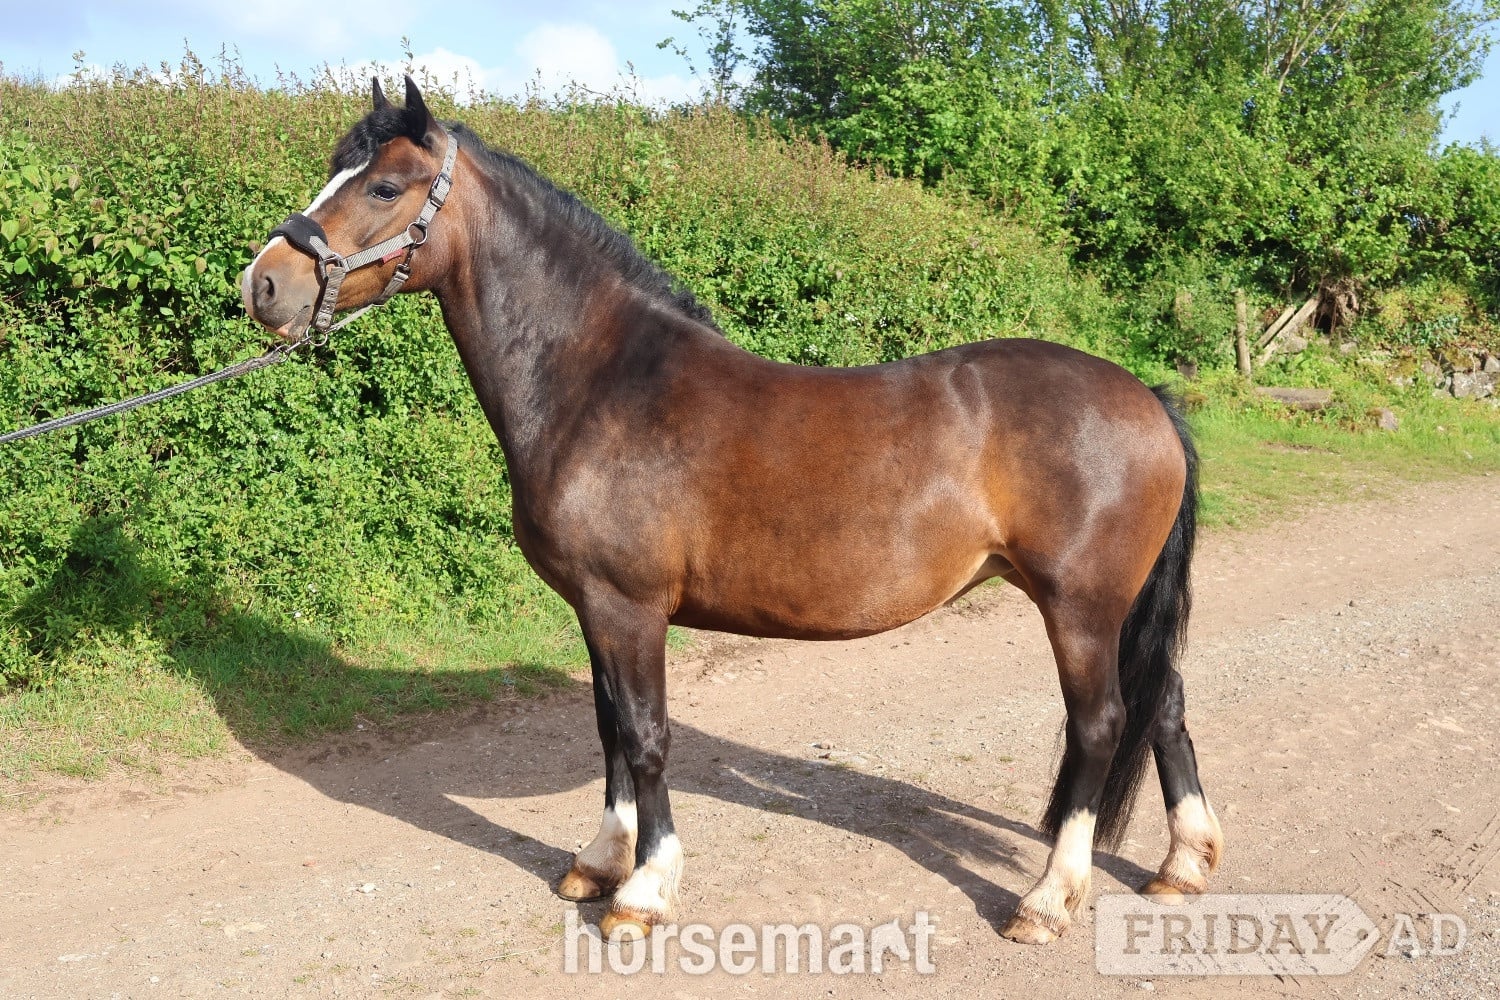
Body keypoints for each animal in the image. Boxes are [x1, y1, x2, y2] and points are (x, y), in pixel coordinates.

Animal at [241, 77, 1223, 946]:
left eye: (384, 185)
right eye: (335, 168)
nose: (263, 285)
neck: (601, 383)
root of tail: (1146, 397)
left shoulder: (629, 606)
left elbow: (643, 737)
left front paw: (642, 893)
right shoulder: (596, 609)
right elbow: (607, 728)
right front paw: (599, 862)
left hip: (1079, 608)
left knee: (1101, 725)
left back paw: (1049, 899)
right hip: (1113, 607)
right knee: (1166, 702)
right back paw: (1183, 865)